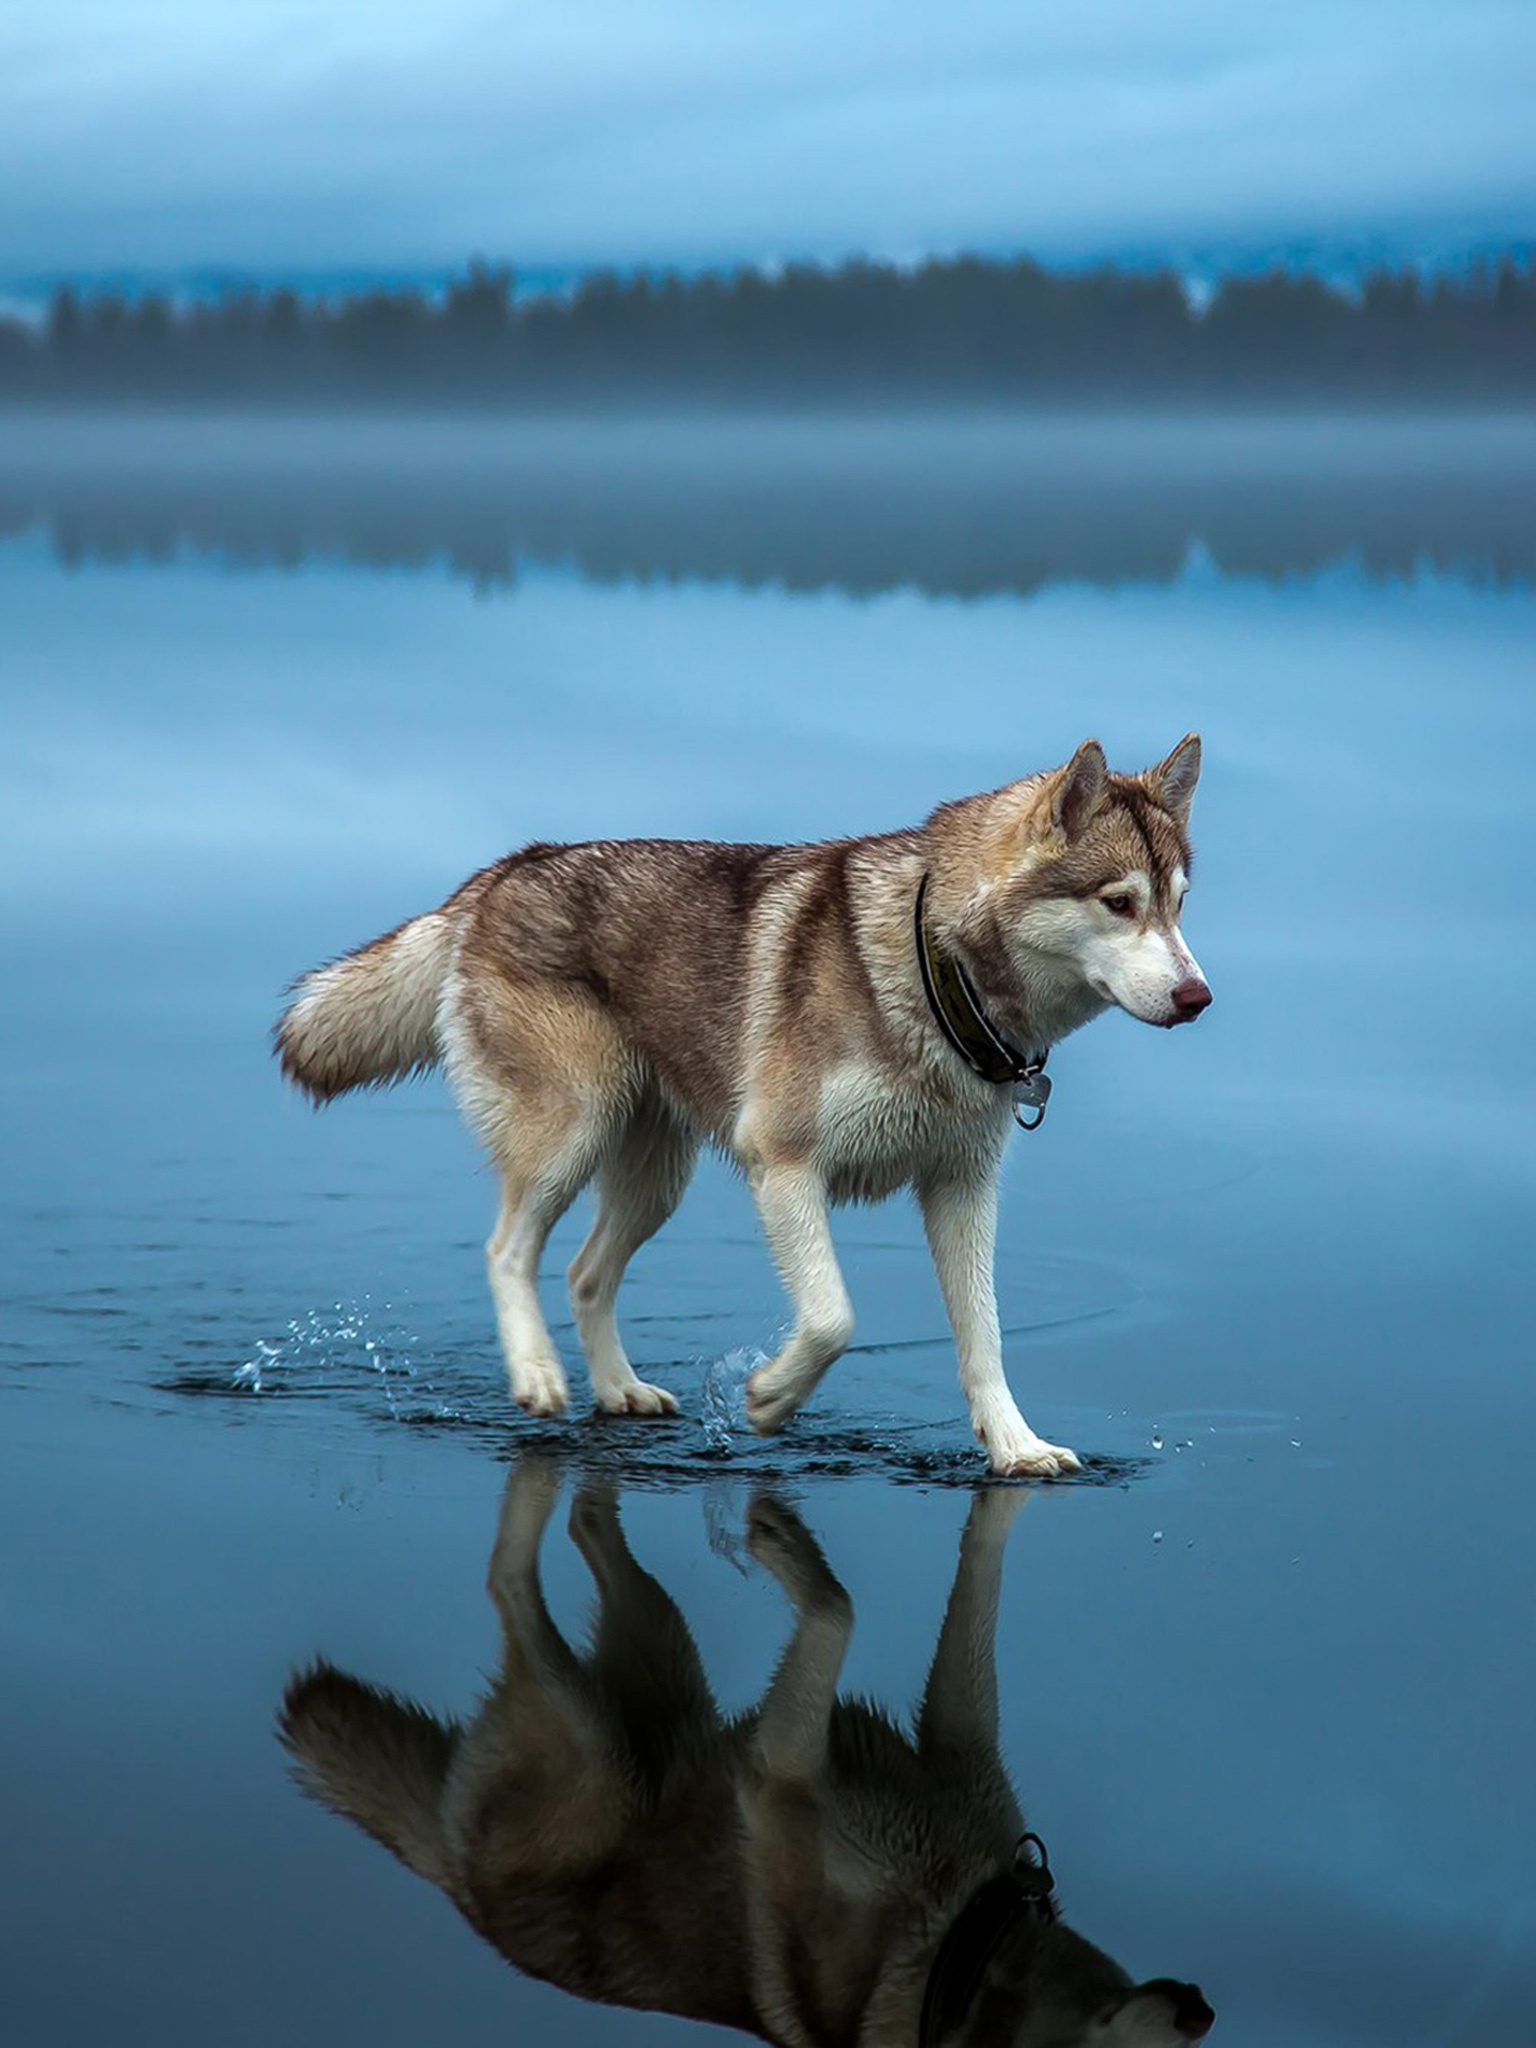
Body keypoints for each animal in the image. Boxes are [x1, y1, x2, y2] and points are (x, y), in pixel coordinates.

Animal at [276, 737, 1212, 1474]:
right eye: (1119, 902)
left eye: (1178, 905)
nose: (1199, 997)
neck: (934, 974)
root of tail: (505, 869)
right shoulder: (784, 1165)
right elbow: (833, 1318)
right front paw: (768, 1398)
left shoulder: (961, 1189)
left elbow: (983, 1337)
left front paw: (1016, 1448)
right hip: (570, 1135)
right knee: (509, 1249)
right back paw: (538, 1376)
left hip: (657, 1177)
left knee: (584, 1274)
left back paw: (617, 1390)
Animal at [276, 1474, 1212, 2048]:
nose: (1205, 2011)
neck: (962, 1946)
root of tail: (454, 1888)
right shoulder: (780, 1771)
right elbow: (838, 1607)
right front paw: (781, 1542)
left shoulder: (950, 1743)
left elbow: (971, 1583)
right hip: (599, 1747)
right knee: (509, 1580)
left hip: (661, 1663)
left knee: (589, 1527)